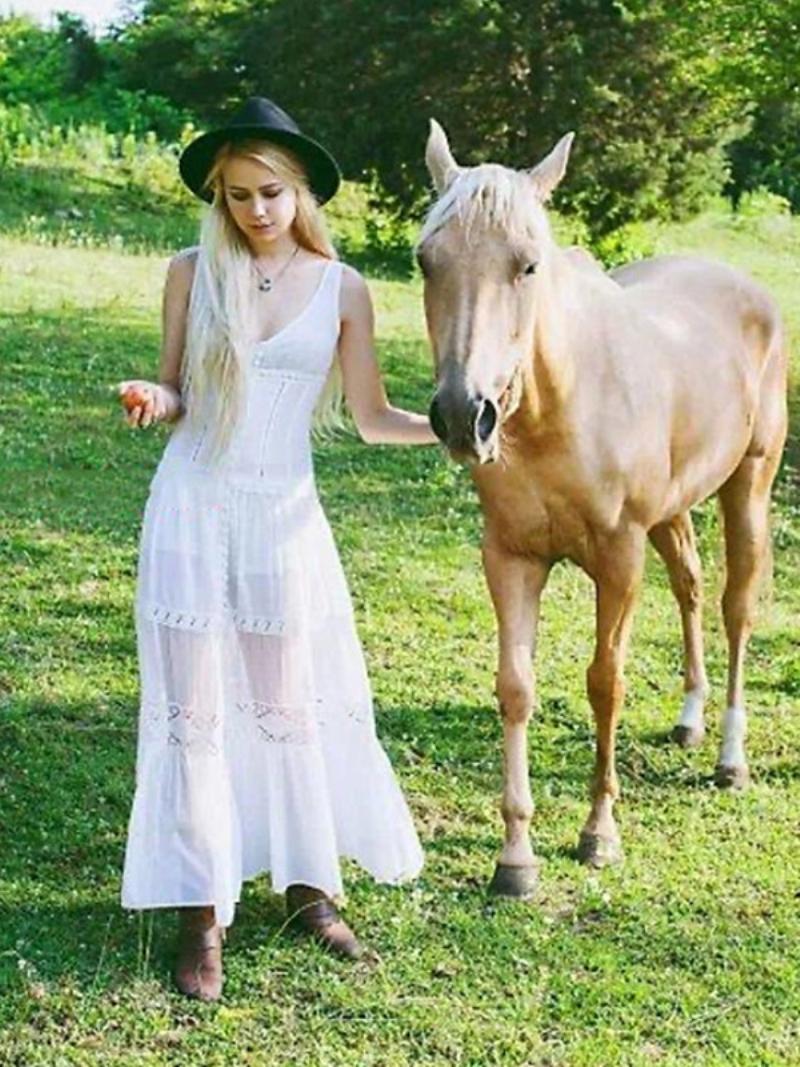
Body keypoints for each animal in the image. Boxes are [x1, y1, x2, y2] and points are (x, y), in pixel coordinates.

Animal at [420, 121, 789, 896]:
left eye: (528, 265)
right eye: (426, 260)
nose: (465, 415)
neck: (557, 409)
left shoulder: (618, 559)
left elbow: (605, 683)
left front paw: (599, 833)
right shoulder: (511, 558)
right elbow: (516, 687)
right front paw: (516, 857)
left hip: (749, 484)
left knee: (736, 608)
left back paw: (729, 757)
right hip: (672, 512)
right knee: (690, 585)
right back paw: (689, 720)